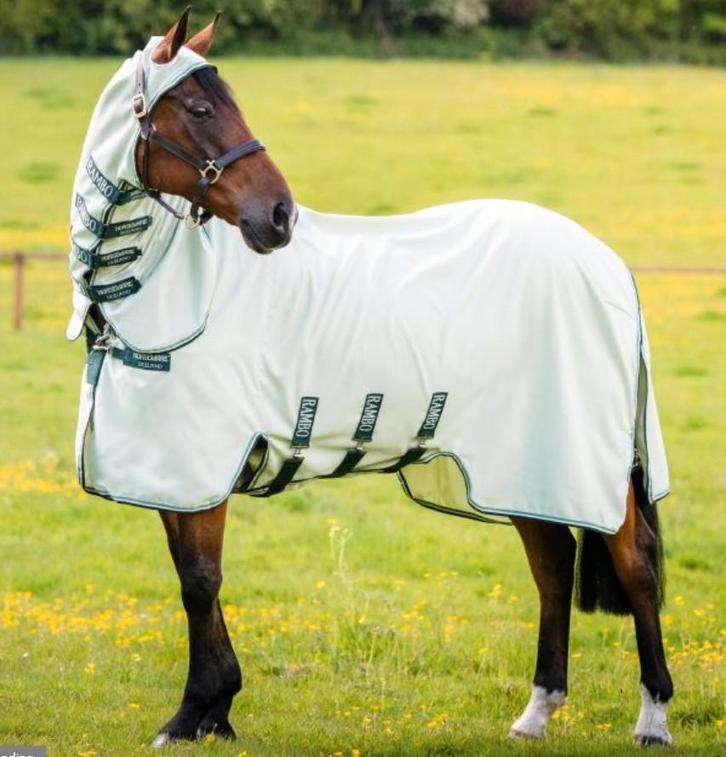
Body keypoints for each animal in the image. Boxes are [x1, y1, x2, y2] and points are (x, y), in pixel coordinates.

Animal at [67, 8, 674, 748]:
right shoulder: (175, 476)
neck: (163, 290)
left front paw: (195, 711)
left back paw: (653, 717)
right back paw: (536, 712)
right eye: (202, 108)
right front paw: (215, 711)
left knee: (635, 564)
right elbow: (195, 578)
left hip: (587, 465)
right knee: (553, 564)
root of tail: (607, 262)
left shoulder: (196, 466)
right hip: (522, 463)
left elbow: (200, 582)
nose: (280, 215)